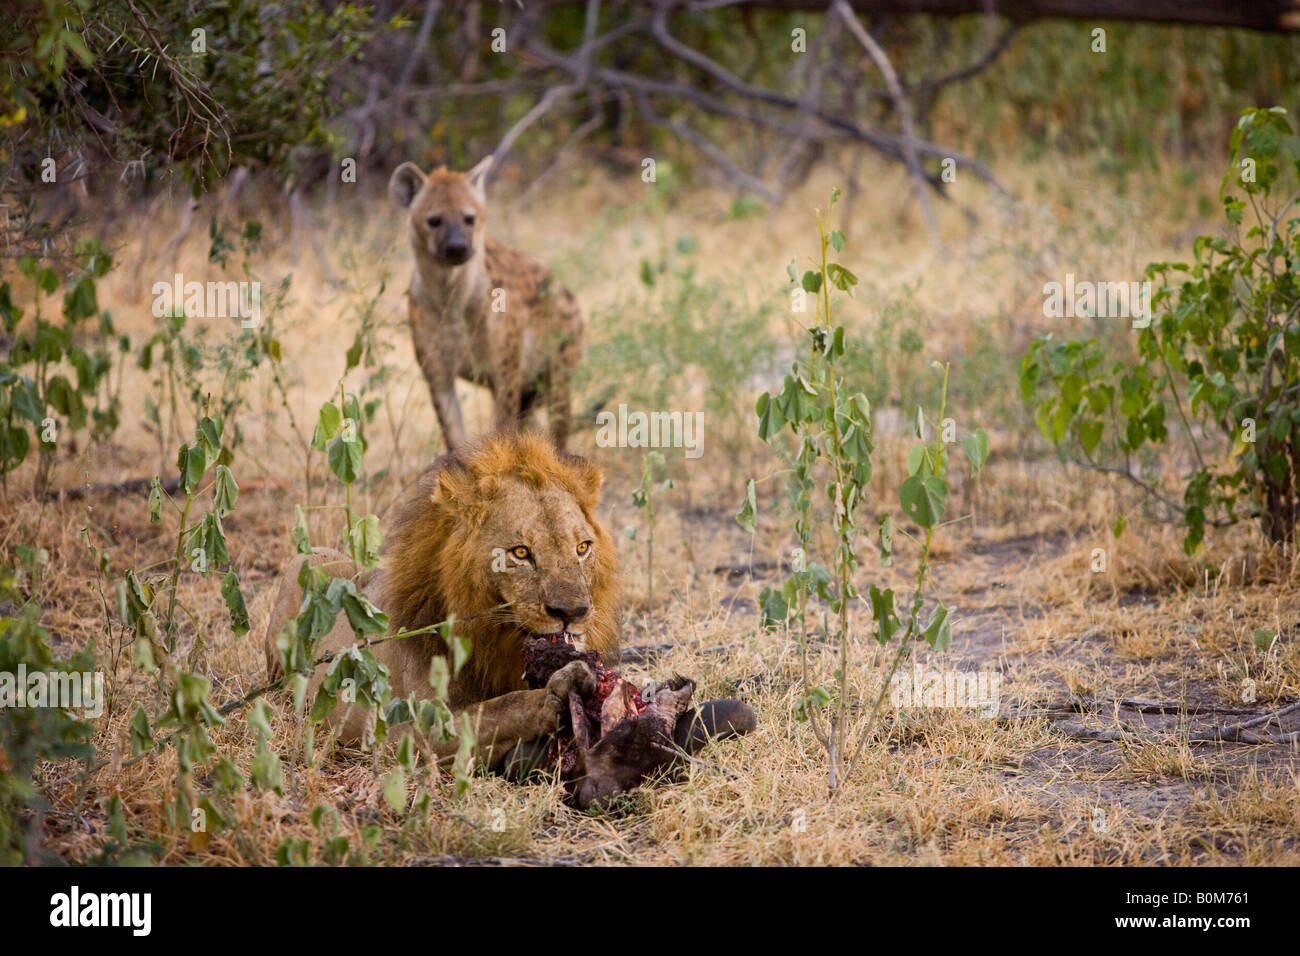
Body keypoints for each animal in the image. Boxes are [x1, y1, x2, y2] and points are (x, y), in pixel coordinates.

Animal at [263, 434, 754, 780]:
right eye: (520, 553)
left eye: (581, 548)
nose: (574, 611)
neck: (501, 643)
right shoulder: (397, 731)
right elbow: (491, 712)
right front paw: (552, 699)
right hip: (306, 561)